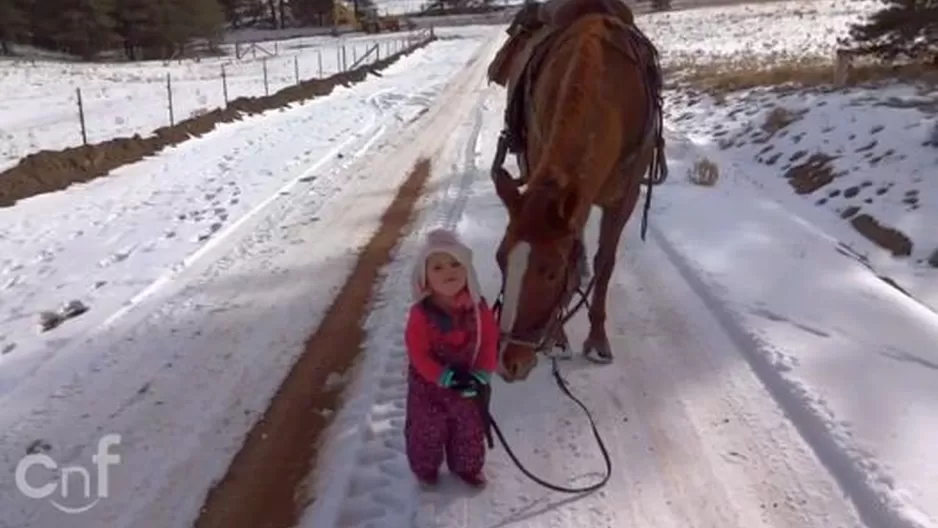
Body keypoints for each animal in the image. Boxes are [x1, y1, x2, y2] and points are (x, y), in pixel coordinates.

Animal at [482, 0, 664, 382]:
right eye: (500, 259)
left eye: (551, 271)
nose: (508, 362)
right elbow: (577, 251)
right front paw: (558, 338)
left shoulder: (623, 200)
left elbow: (603, 263)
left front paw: (596, 341)